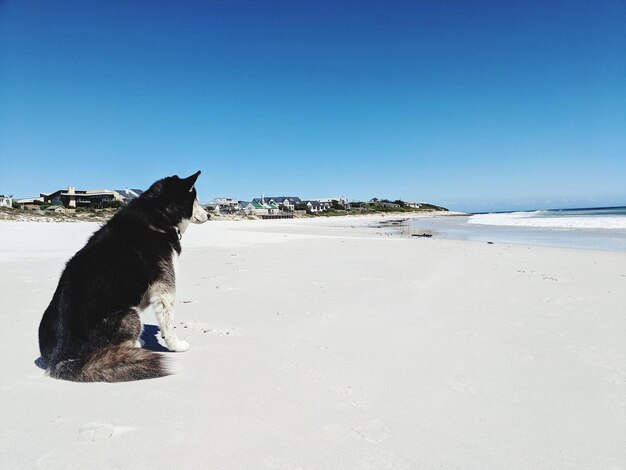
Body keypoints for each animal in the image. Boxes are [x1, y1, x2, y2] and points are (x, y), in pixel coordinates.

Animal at [37, 173, 208, 382]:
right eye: (196, 200)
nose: (209, 215)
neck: (158, 214)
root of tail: (61, 360)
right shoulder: (165, 287)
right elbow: (168, 321)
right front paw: (175, 345)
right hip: (129, 315)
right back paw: (135, 346)